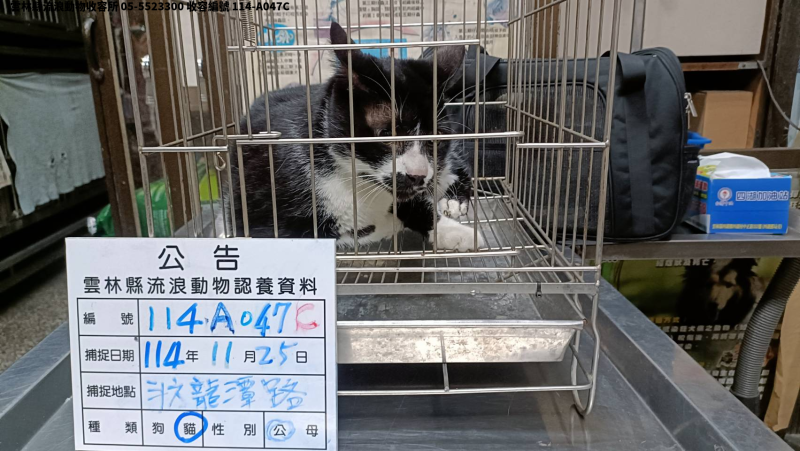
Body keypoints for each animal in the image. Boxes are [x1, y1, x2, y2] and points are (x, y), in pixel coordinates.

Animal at [227, 22, 484, 252]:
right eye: (386, 133)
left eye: (437, 137)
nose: (418, 175)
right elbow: (346, 232)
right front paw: (391, 224)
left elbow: (411, 202)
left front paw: (454, 231)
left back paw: (453, 199)